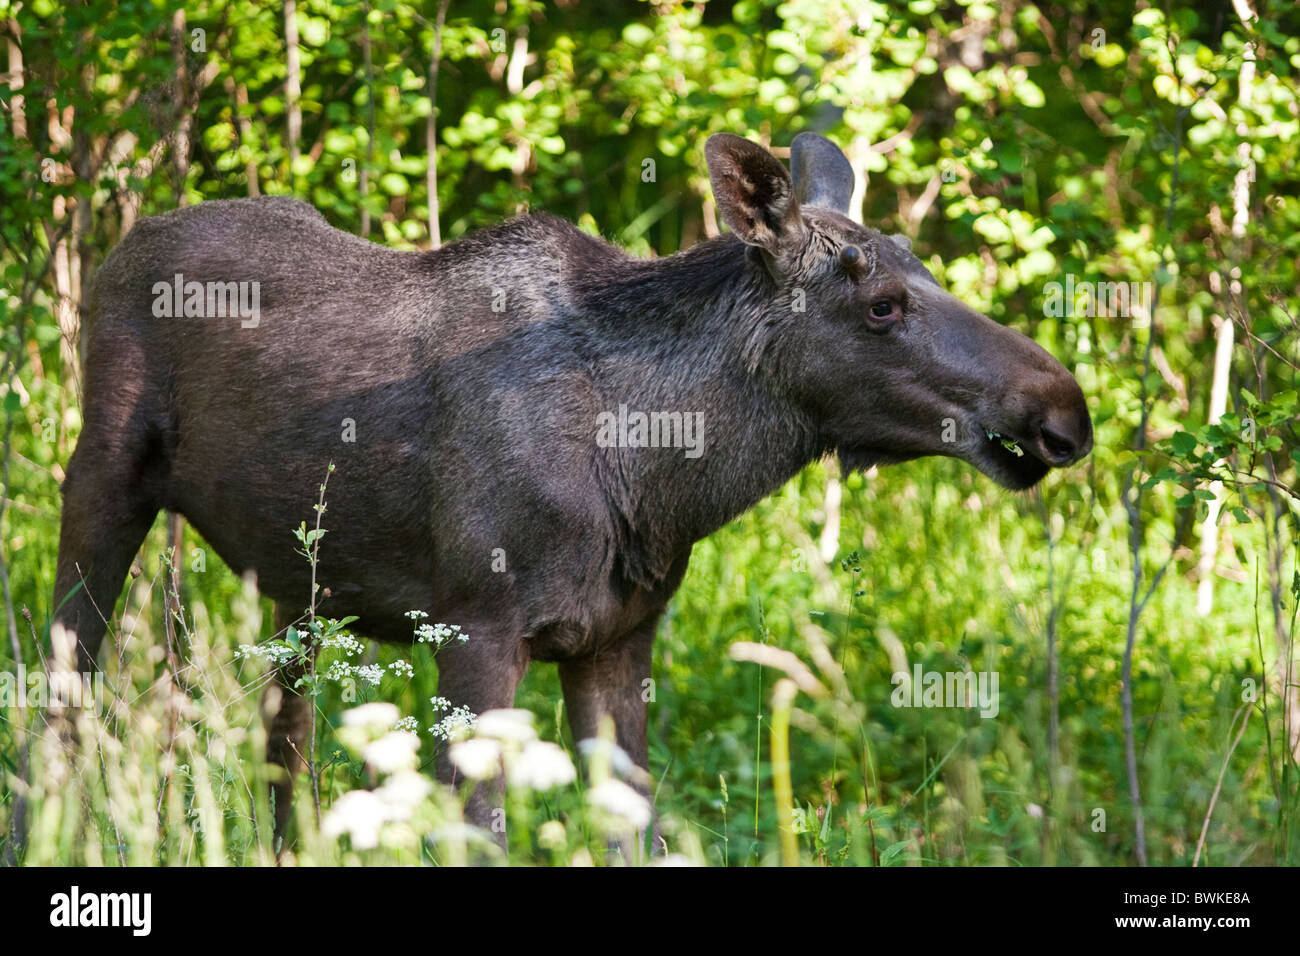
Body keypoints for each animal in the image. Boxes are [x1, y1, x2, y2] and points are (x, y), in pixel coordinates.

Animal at [50, 130, 1092, 842]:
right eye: (881, 304)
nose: (1064, 409)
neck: (662, 478)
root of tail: (117, 253)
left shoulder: (619, 641)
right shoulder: (475, 629)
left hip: (292, 587)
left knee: (286, 748)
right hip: (100, 484)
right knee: (63, 694)